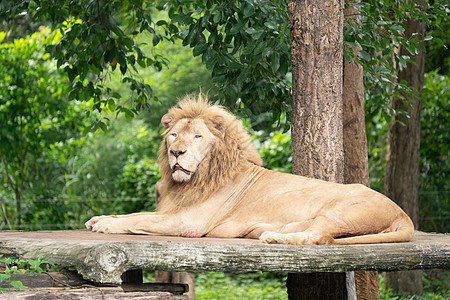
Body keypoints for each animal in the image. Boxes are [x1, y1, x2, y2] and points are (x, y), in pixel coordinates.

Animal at [85, 94, 414, 246]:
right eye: (174, 135)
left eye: (197, 136)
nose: (176, 153)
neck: (194, 180)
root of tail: (402, 213)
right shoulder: (172, 209)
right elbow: (133, 213)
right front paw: (100, 218)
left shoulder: (188, 221)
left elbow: (140, 219)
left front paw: (106, 226)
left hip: (338, 211)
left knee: (318, 238)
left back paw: (272, 238)